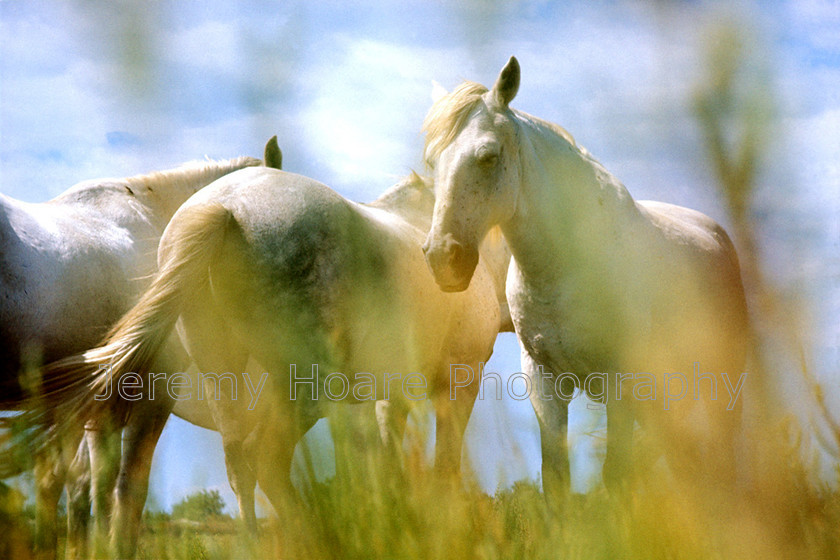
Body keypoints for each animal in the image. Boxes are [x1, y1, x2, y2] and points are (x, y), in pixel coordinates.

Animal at [36, 167, 512, 556]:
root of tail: (224, 207)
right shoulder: (458, 381)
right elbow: (441, 469)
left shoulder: (381, 399)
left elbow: (379, 469)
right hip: (300, 392)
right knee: (262, 461)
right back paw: (317, 540)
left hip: (220, 379)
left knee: (232, 467)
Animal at [420, 59, 748, 500]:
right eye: (433, 163)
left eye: (488, 156)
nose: (443, 258)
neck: (565, 268)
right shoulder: (544, 382)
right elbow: (556, 476)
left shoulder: (622, 381)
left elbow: (617, 473)